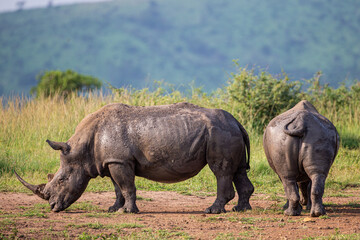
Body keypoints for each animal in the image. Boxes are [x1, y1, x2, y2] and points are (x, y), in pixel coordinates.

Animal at [15, 102, 255, 213]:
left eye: (62, 180)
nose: (52, 206)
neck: (82, 148)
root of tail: (237, 122)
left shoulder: (120, 161)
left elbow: (126, 186)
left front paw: (128, 211)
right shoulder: (111, 161)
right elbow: (117, 188)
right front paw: (113, 209)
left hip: (219, 133)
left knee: (221, 171)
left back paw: (212, 210)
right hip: (227, 131)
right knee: (238, 170)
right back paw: (240, 209)